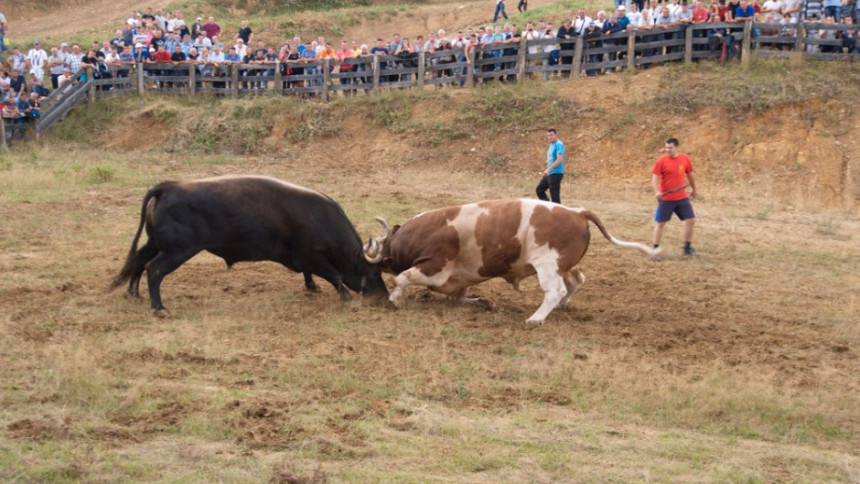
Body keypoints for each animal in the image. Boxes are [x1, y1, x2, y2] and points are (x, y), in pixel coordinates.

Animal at [109, 176, 388, 316]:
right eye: (374, 272)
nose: (384, 297)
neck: (320, 217)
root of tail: (169, 187)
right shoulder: (314, 256)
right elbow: (335, 275)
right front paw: (346, 296)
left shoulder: (304, 259)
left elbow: (312, 274)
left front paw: (312, 286)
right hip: (176, 251)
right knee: (154, 269)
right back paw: (159, 308)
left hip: (156, 243)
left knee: (139, 260)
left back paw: (133, 292)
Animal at [362, 199, 660, 324]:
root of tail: (577, 213)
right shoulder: (457, 283)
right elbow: (459, 299)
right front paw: (485, 302)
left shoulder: (434, 267)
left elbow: (404, 277)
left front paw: (395, 299)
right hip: (563, 266)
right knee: (576, 281)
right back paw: (559, 307)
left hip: (548, 266)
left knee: (556, 290)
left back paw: (536, 318)